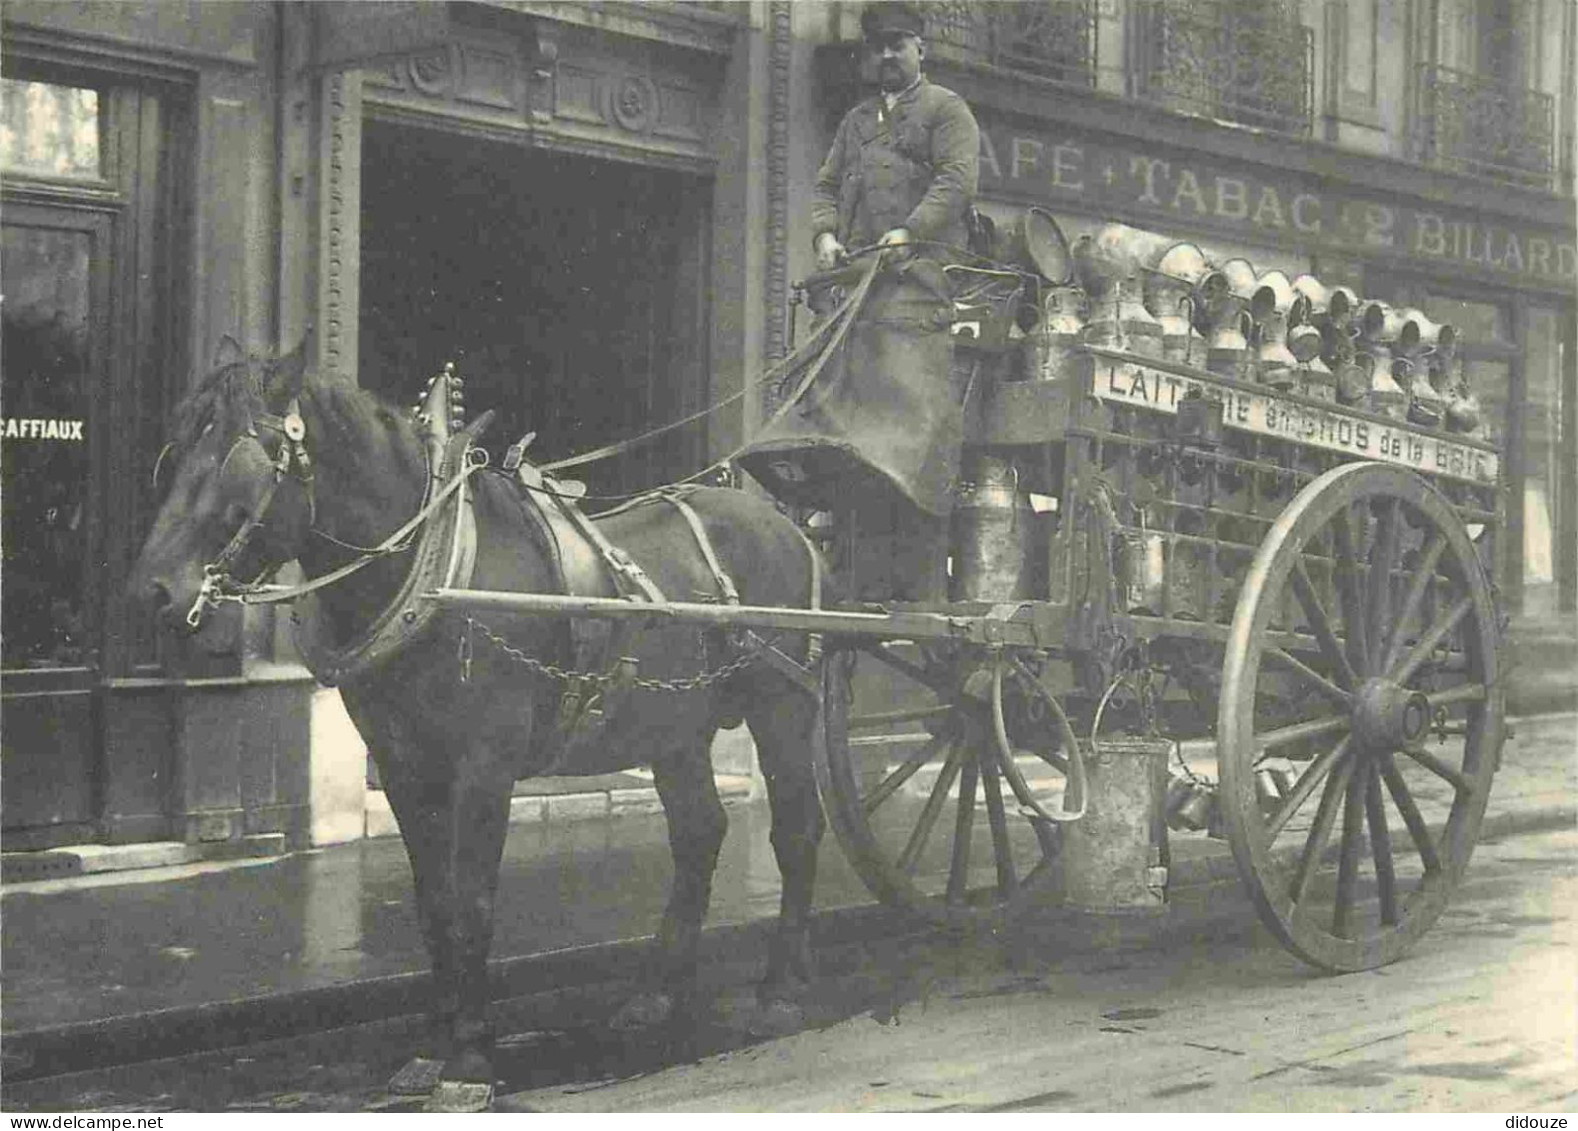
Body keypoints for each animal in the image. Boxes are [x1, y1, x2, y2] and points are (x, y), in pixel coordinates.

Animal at [126, 343, 826, 1104]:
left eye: (240, 461)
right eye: (173, 455)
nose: (150, 591)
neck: (431, 567)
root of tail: (786, 523)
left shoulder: (485, 765)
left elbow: (473, 902)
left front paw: (468, 1060)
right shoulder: (404, 765)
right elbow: (434, 904)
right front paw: (434, 1048)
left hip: (782, 705)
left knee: (797, 831)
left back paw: (781, 990)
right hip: (671, 728)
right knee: (699, 832)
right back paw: (658, 993)